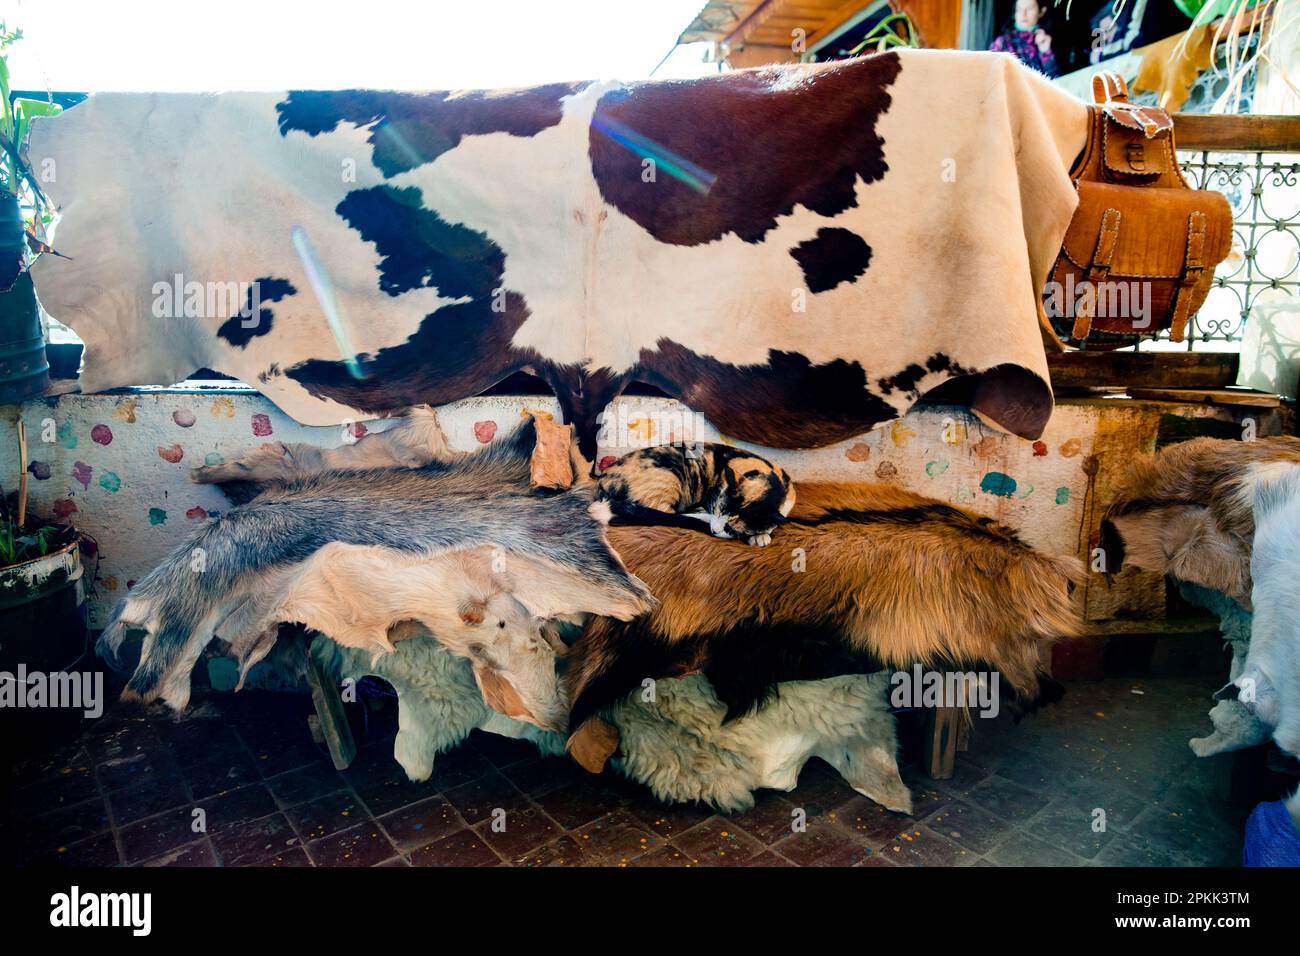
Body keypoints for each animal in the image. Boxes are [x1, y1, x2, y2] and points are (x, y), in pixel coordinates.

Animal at [595, 442, 795, 546]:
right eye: (718, 511)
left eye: (730, 527)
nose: (714, 530)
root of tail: (603, 479)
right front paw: (760, 535)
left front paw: (762, 533)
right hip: (670, 477)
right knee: (667, 515)